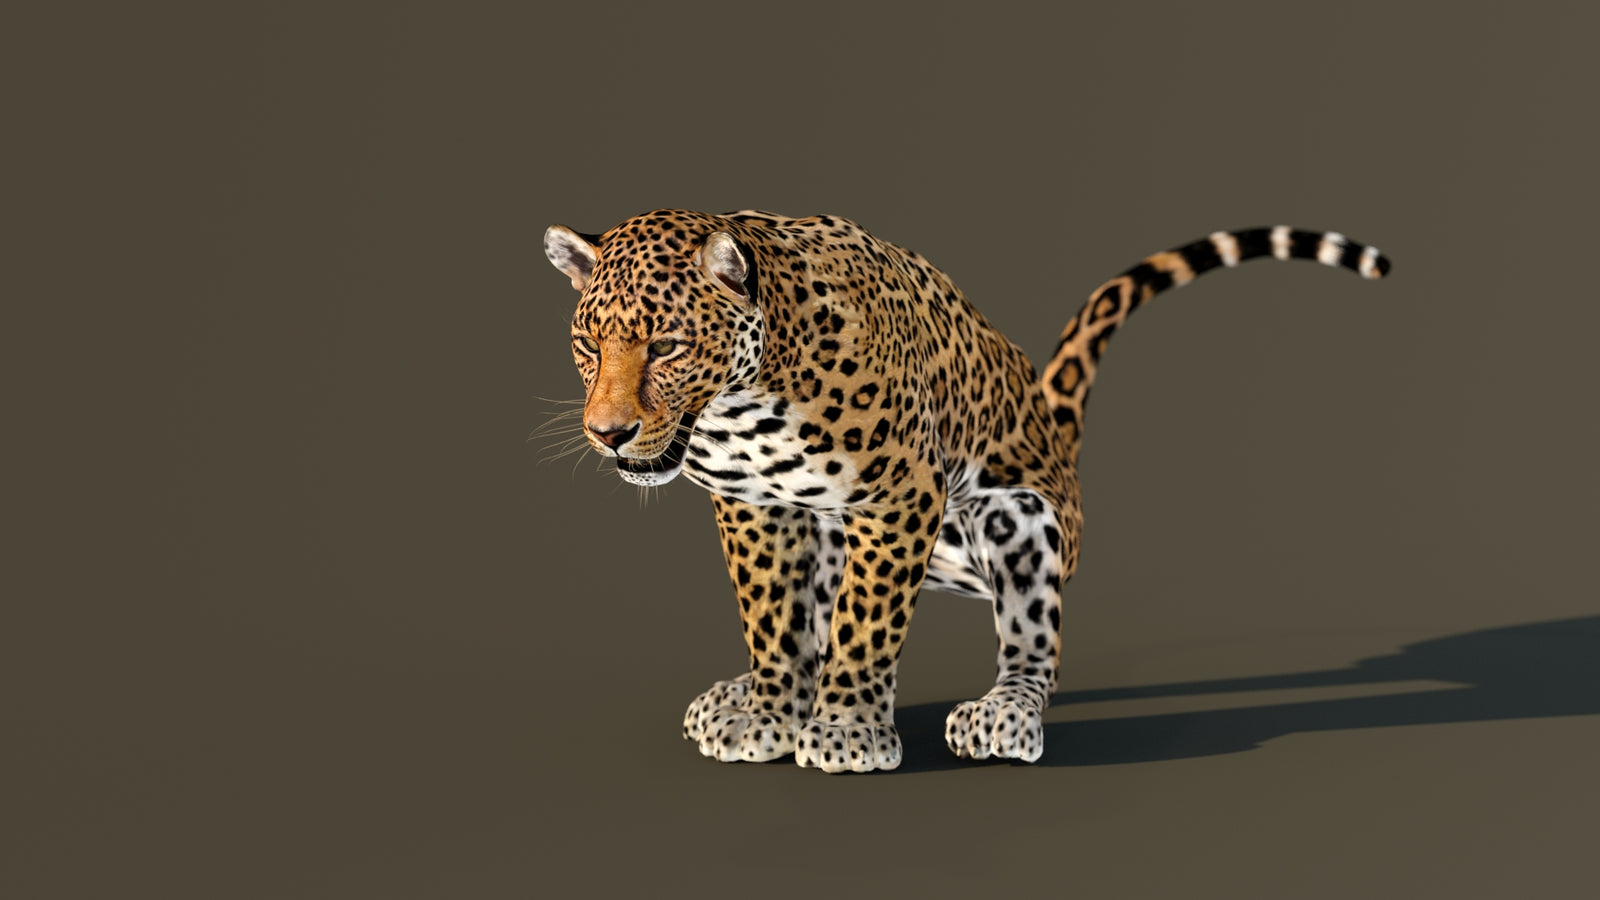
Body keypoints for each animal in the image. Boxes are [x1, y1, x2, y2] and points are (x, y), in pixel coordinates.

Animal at [542, 209, 1389, 773]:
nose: (608, 433)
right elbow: (775, 618)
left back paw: (1003, 714)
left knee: (1032, 646)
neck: (744, 401)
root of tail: (1053, 429)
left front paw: (846, 732)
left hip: (1018, 519)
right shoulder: (760, 505)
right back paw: (736, 693)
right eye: (587, 344)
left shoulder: (898, 495)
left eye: (667, 346)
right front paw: (769, 711)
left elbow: (866, 624)